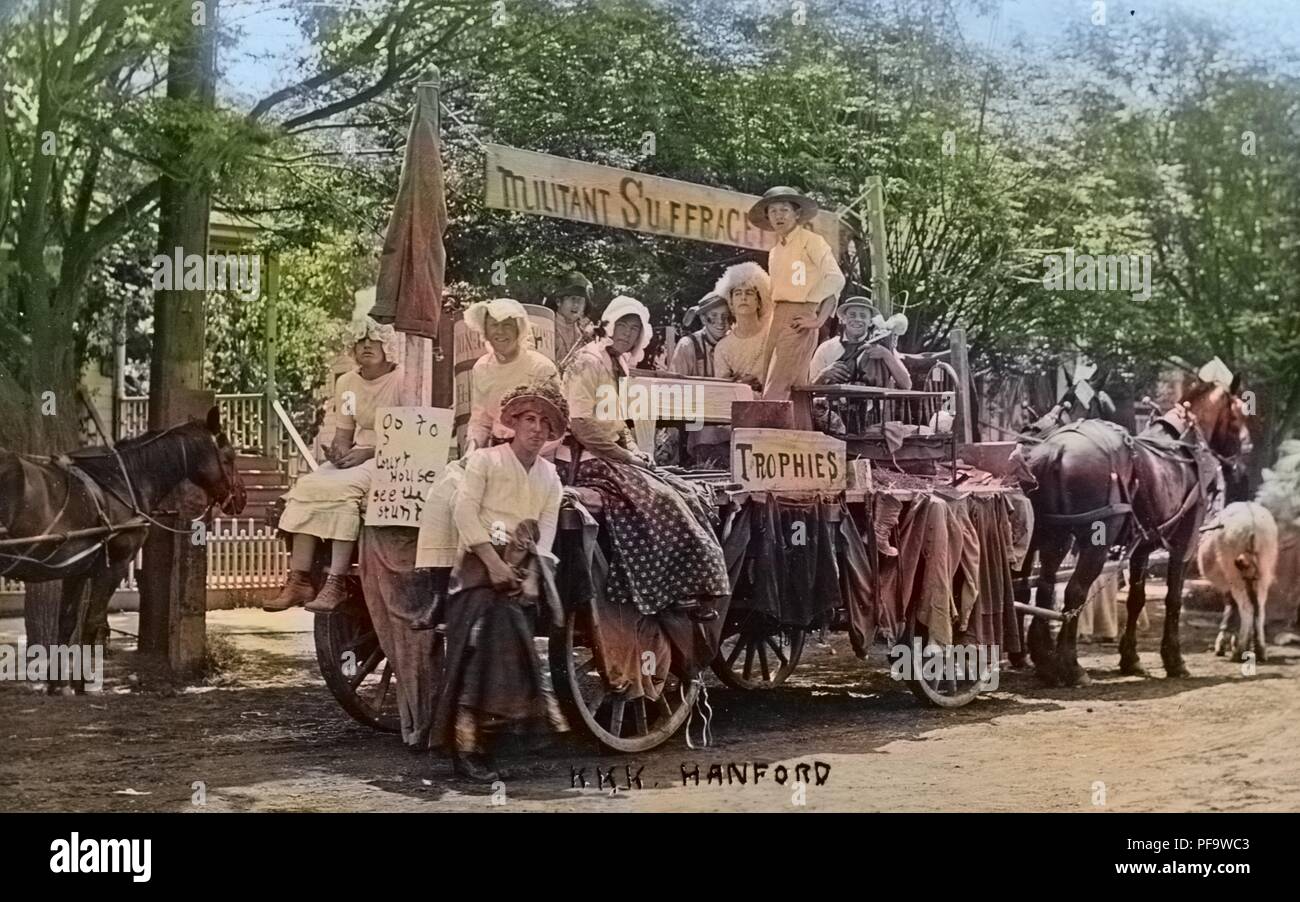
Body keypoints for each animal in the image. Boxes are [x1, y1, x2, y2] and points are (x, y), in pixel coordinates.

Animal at [0, 408, 245, 657]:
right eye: (229, 458)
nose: (241, 497)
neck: (121, 480)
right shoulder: (113, 567)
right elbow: (91, 626)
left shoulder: (76, 571)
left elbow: (68, 625)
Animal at [1019, 382, 1242, 686]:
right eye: (1238, 415)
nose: (1239, 457)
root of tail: (1058, 449)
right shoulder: (1185, 542)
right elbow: (1174, 598)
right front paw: (1174, 660)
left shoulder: (1143, 546)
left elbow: (1137, 599)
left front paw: (1131, 658)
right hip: (1094, 543)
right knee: (1074, 591)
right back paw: (1071, 666)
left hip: (1054, 535)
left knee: (1044, 586)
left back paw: (1045, 663)